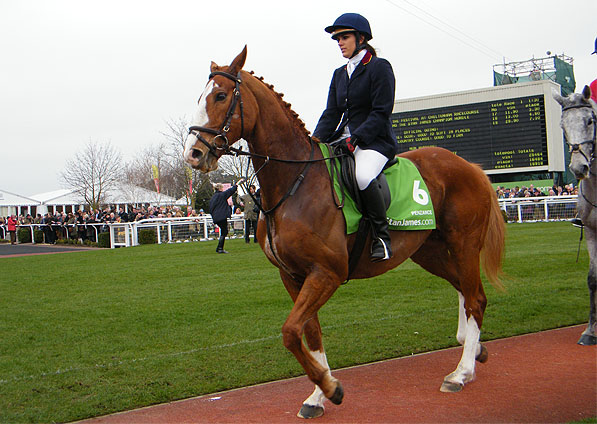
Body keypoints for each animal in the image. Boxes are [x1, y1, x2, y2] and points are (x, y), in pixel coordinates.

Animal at [183, 48, 502, 420]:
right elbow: (310, 333)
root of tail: (469, 166)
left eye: (220, 96)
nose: (193, 153)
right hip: (429, 251)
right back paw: (473, 348)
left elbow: (290, 332)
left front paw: (330, 387)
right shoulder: (293, 276)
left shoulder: (327, 273)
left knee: (475, 297)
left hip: (463, 243)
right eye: (201, 97)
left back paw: (461, 372)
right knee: (465, 290)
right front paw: (317, 395)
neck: (294, 183)